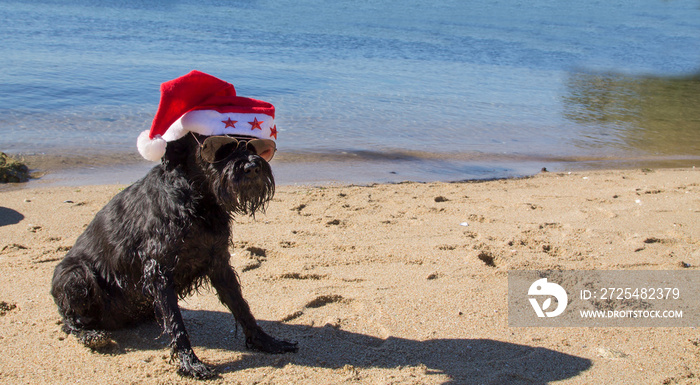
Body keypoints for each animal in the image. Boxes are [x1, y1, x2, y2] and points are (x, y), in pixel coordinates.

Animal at [50, 133, 296, 378]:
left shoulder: (219, 263)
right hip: (76, 275)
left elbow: (242, 307)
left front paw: (266, 342)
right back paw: (90, 335)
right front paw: (190, 363)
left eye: (253, 143)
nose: (252, 167)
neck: (199, 201)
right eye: (220, 146)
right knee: (69, 320)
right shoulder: (158, 271)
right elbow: (176, 323)